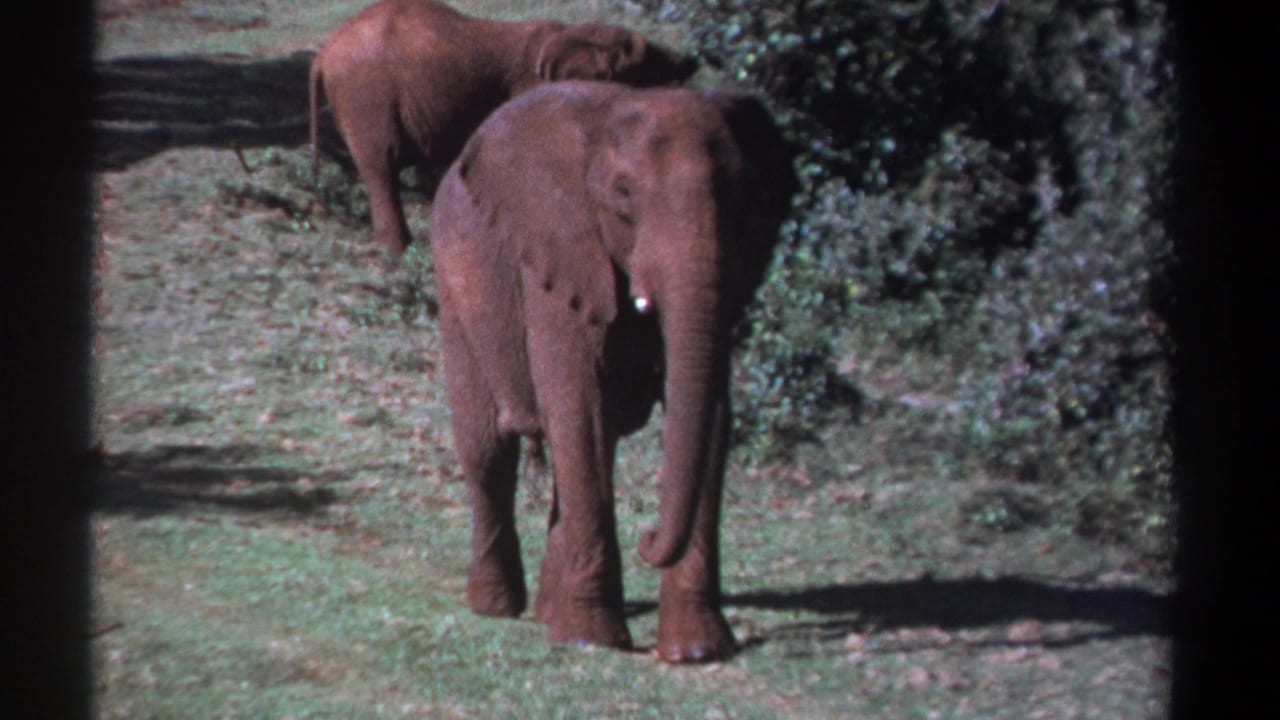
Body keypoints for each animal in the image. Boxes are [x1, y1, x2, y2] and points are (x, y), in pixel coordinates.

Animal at [308, 0, 697, 257]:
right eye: (644, 64)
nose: (691, 61)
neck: (573, 34)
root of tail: (323, 53)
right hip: (366, 94)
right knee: (381, 165)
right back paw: (398, 252)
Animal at [428, 81, 797, 662]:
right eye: (623, 195)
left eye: (741, 195)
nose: (648, 538)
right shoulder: (559, 254)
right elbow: (578, 406)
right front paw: (591, 639)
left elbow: (713, 416)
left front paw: (697, 651)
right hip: (455, 286)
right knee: (489, 451)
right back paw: (497, 608)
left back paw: (550, 615)